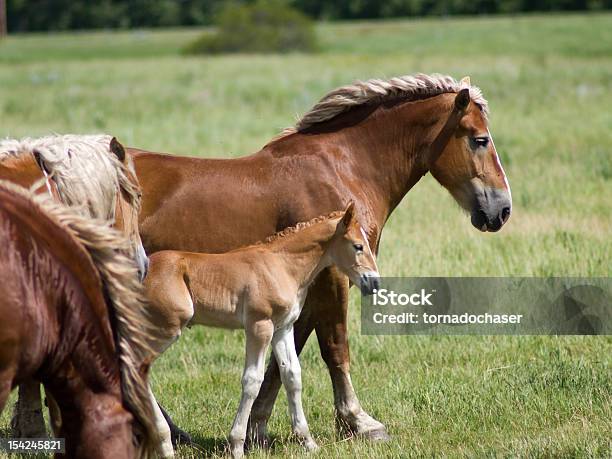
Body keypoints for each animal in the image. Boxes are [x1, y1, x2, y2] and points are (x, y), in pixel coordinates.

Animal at [143, 203, 380, 458]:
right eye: (358, 246)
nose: (375, 282)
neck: (282, 266)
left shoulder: (283, 328)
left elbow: (292, 375)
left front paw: (308, 442)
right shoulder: (260, 326)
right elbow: (252, 380)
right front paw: (237, 445)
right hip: (164, 328)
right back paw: (164, 441)